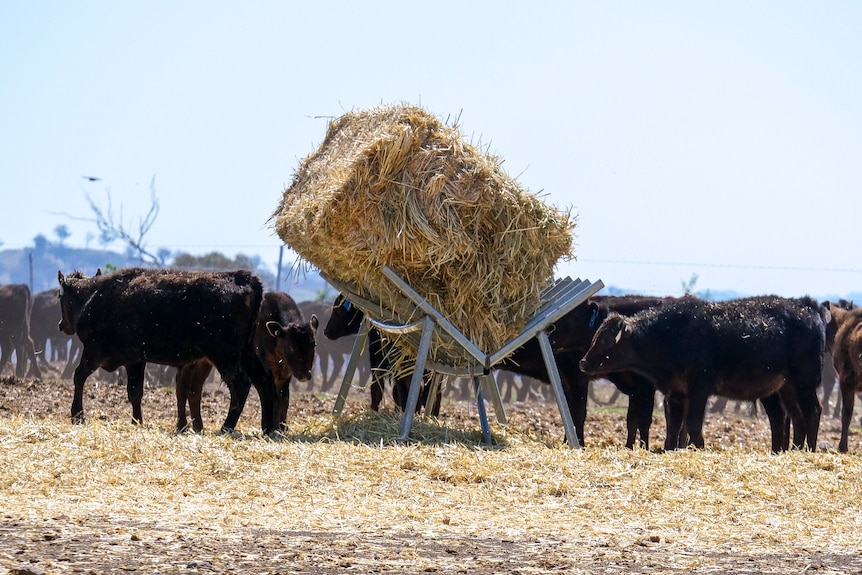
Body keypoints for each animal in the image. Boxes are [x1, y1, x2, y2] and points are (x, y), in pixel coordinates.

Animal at [56, 268, 276, 434]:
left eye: (60, 296)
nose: (61, 325)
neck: (94, 296)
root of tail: (243, 278)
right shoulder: (135, 360)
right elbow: (135, 392)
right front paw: (137, 421)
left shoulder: (93, 352)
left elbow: (79, 377)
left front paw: (77, 415)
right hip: (246, 353)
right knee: (264, 380)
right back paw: (267, 427)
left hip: (225, 356)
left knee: (241, 385)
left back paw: (226, 427)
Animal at [176, 292, 320, 432]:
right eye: (290, 347)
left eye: (313, 344)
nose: (305, 375)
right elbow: (275, 398)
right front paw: (274, 427)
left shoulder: (285, 375)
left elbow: (284, 399)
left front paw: (282, 427)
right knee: (181, 384)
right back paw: (182, 426)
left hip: (204, 362)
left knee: (195, 388)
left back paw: (198, 427)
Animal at [576, 296, 828, 454]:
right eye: (596, 336)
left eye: (606, 340)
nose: (583, 363)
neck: (671, 335)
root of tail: (808, 306)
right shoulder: (676, 392)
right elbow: (674, 424)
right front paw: (669, 448)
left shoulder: (699, 389)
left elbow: (693, 423)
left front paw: (699, 447)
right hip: (785, 387)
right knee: (791, 417)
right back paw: (790, 450)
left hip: (804, 382)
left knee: (812, 412)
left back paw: (809, 450)